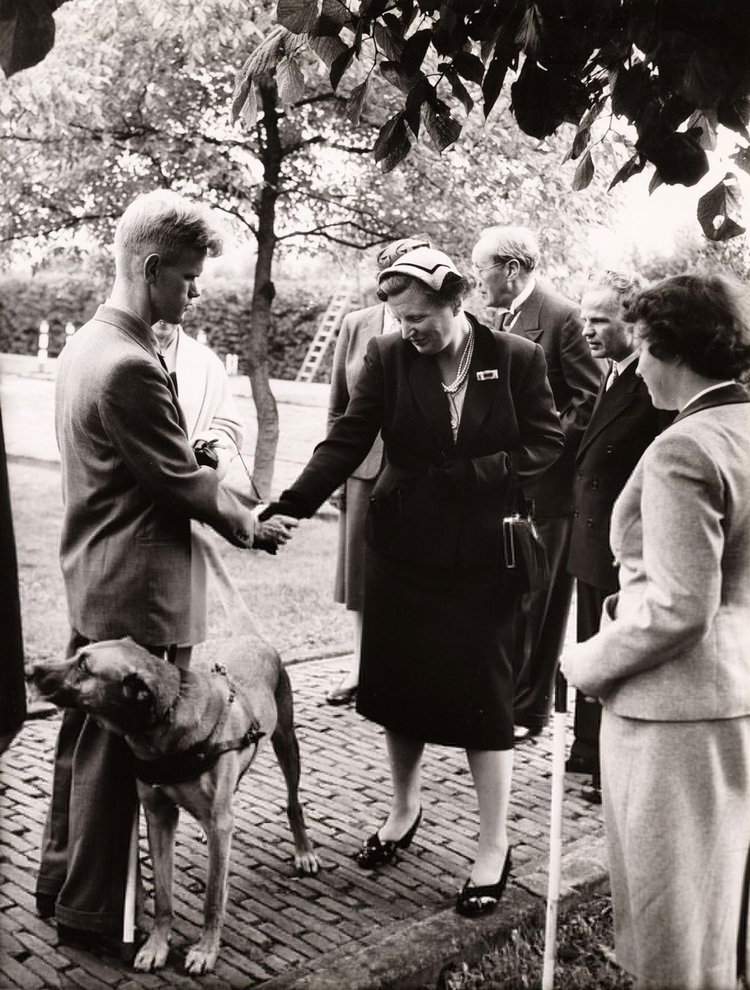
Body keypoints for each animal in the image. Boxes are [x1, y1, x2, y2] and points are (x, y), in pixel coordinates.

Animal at [28, 636, 320, 976]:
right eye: (76, 655)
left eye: (84, 666)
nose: (29, 671)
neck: (162, 729)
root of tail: (252, 638)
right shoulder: (159, 816)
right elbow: (163, 896)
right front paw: (156, 946)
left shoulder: (219, 822)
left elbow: (213, 896)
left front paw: (205, 950)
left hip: (286, 741)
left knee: (293, 803)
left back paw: (304, 851)